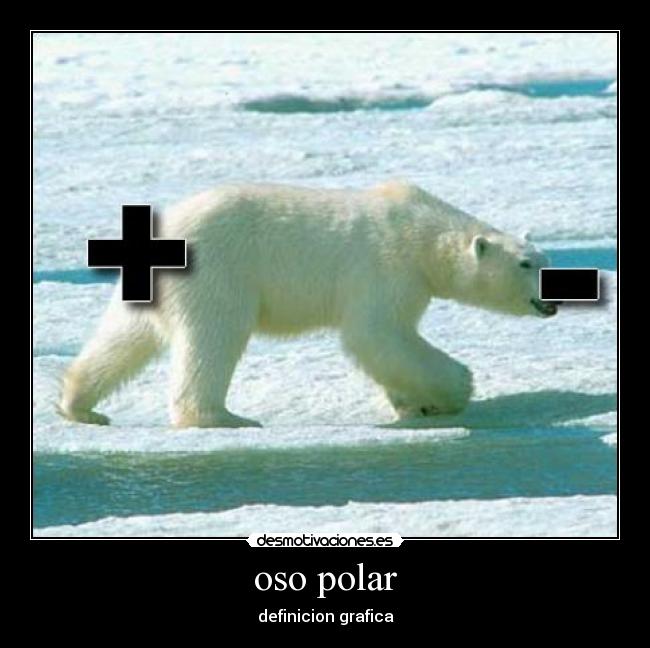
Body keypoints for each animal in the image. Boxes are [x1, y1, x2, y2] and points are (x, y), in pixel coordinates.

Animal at [58, 181, 557, 428]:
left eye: (546, 259)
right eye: (525, 264)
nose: (552, 300)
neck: (420, 232)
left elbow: (390, 349)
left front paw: (413, 405)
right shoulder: (386, 268)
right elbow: (378, 334)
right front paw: (454, 392)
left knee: (123, 336)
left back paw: (79, 404)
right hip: (219, 271)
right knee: (215, 336)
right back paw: (224, 418)